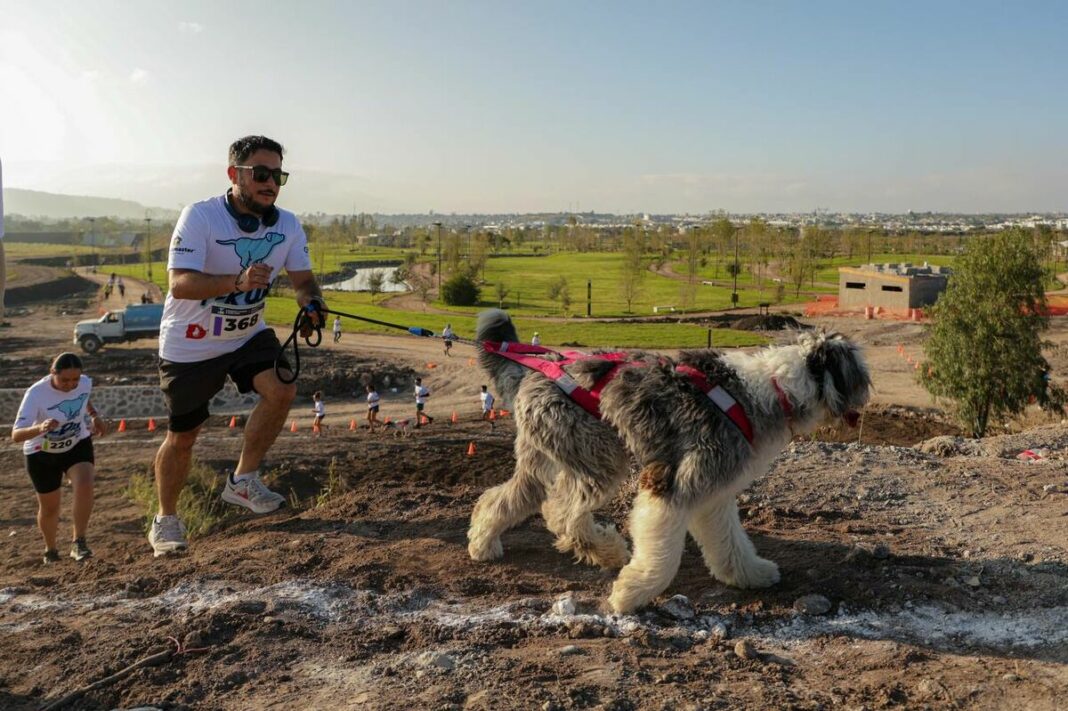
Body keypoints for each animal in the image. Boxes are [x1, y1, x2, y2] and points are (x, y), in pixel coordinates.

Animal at [467, 307, 867, 610]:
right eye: (859, 375)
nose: (865, 399)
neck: (774, 388)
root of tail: (539, 370)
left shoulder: (715, 493)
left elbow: (730, 541)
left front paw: (749, 574)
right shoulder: (671, 485)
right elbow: (662, 553)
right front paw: (631, 594)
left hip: (547, 457)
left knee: (503, 499)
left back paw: (483, 543)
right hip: (598, 454)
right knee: (559, 512)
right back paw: (608, 550)